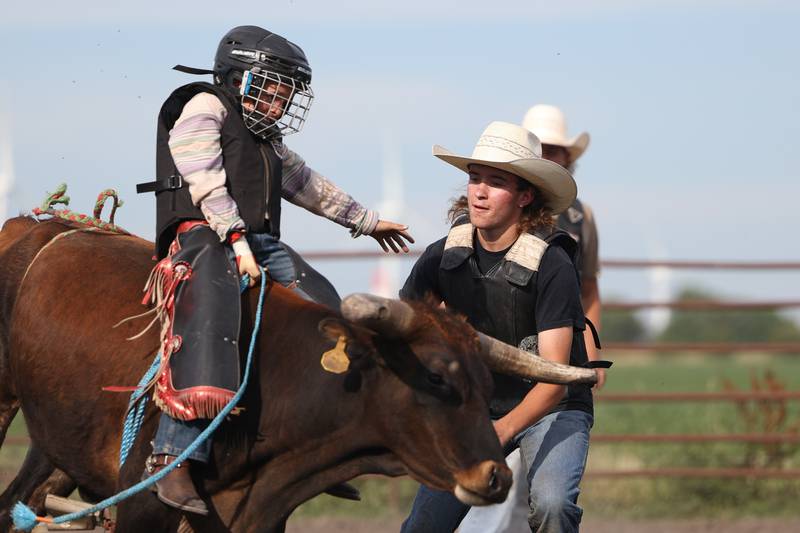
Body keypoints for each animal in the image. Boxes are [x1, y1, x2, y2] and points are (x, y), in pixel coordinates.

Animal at [0, 217, 592, 532]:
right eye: (437, 378)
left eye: (487, 385)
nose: (495, 477)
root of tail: (38, 225)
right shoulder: (142, 505)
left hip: (57, 447)